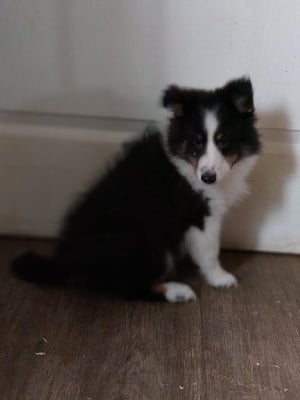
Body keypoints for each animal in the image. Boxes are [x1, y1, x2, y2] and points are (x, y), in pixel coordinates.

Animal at [11, 77, 260, 304]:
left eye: (223, 141)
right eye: (196, 142)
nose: (208, 178)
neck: (187, 164)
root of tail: (67, 262)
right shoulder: (200, 216)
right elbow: (210, 251)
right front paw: (221, 278)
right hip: (146, 243)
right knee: (126, 287)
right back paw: (178, 291)